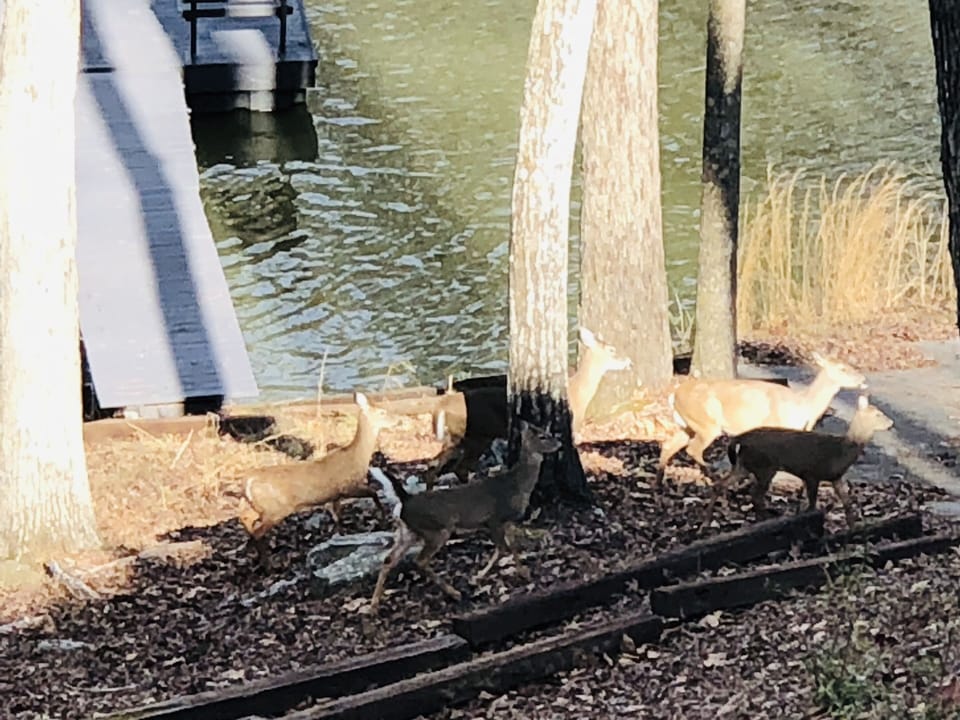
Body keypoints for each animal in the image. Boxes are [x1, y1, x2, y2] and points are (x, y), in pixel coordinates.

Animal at [236, 391, 393, 568]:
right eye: (382, 412)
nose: (396, 420)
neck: (357, 457)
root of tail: (247, 481)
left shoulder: (336, 495)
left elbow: (338, 517)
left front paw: (340, 536)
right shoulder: (348, 485)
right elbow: (373, 493)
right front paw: (384, 519)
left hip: (255, 507)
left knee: (248, 522)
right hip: (275, 508)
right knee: (257, 532)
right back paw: (267, 565)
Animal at [368, 421, 561, 612]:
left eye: (547, 432)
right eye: (543, 436)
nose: (559, 443)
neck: (518, 486)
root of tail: (405, 500)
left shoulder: (507, 520)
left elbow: (512, 546)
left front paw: (524, 573)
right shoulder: (494, 518)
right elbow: (502, 549)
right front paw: (478, 577)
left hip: (407, 532)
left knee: (389, 559)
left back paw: (373, 605)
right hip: (436, 529)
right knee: (419, 560)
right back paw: (454, 593)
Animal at [424, 326, 630, 488]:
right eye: (612, 350)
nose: (628, 361)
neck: (577, 393)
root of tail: (442, 404)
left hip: (462, 438)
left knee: (440, 467)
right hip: (474, 436)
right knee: (454, 467)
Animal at [656, 352, 867, 485]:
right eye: (842, 368)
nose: (863, 379)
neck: (802, 406)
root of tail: (675, 394)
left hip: (687, 425)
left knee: (669, 445)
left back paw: (659, 484)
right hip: (707, 423)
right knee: (692, 449)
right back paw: (713, 478)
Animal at [702, 394, 894, 527]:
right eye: (878, 414)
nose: (891, 423)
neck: (842, 451)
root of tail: (740, 438)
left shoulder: (835, 477)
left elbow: (847, 503)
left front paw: (853, 527)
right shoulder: (812, 473)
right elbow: (812, 504)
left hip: (744, 464)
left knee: (720, 484)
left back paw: (707, 521)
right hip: (764, 466)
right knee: (755, 493)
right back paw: (763, 519)